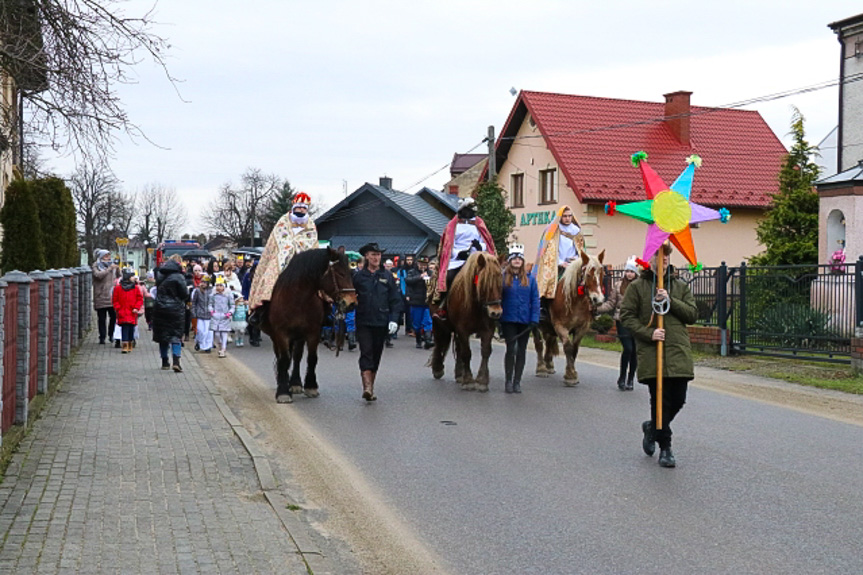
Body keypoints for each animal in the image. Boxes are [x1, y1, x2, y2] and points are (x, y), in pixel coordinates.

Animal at [264, 248, 358, 404]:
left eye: (351, 273)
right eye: (340, 273)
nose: (351, 303)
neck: (297, 300)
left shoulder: (313, 332)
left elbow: (312, 358)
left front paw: (311, 386)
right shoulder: (281, 334)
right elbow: (284, 359)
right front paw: (283, 391)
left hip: (300, 337)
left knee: (297, 356)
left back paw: (295, 383)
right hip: (276, 337)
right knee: (281, 357)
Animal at [432, 254, 506, 394]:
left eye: (501, 282)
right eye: (484, 283)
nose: (495, 313)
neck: (476, 305)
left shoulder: (488, 330)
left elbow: (485, 351)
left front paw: (482, 381)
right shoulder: (462, 329)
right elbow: (467, 353)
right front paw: (468, 381)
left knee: (458, 348)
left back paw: (459, 374)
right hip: (438, 323)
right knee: (439, 342)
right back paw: (437, 368)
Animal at [532, 250, 608, 384]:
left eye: (602, 274)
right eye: (588, 275)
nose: (598, 300)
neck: (576, 301)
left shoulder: (582, 328)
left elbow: (575, 349)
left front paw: (571, 371)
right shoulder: (560, 326)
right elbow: (567, 347)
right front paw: (570, 375)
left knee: (549, 341)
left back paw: (549, 365)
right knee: (539, 343)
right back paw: (541, 368)